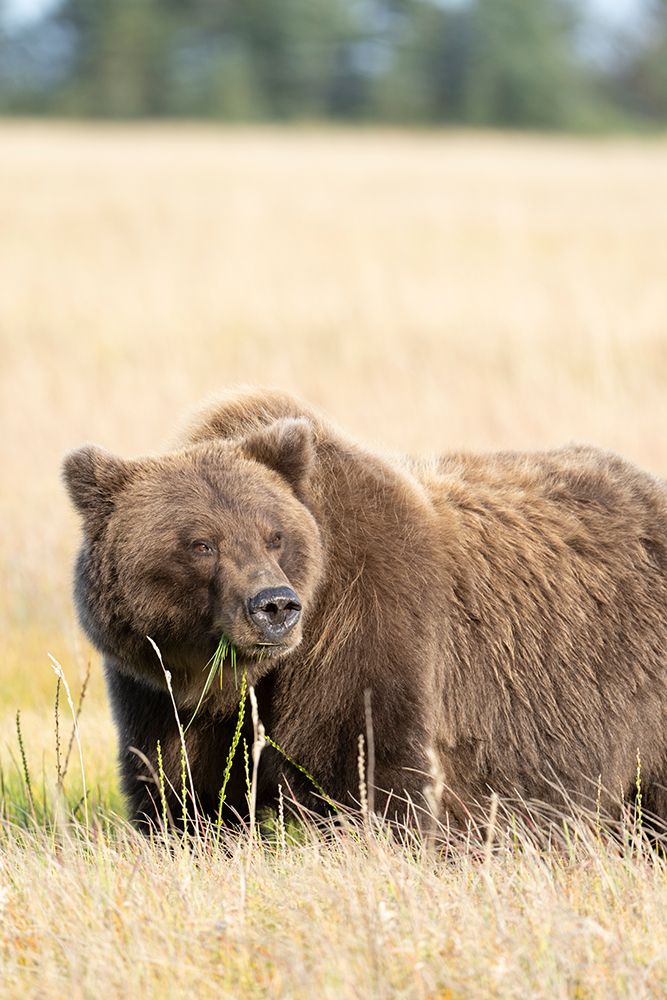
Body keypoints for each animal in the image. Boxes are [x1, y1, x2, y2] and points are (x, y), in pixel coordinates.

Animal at [63, 387, 667, 832]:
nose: (274, 606)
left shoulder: (364, 631)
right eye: (201, 544)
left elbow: (373, 773)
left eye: (274, 535)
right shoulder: (161, 689)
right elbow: (180, 792)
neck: (239, 675)